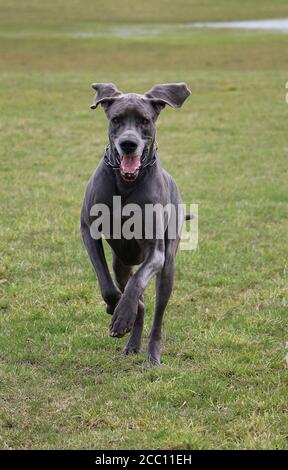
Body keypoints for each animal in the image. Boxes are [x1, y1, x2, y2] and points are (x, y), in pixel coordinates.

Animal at [80, 82, 191, 366]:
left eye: (144, 120)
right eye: (116, 119)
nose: (128, 143)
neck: (126, 182)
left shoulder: (156, 252)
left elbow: (138, 281)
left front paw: (122, 315)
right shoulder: (88, 231)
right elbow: (107, 284)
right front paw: (115, 308)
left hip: (168, 269)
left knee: (157, 316)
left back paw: (152, 354)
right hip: (121, 263)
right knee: (129, 289)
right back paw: (132, 341)